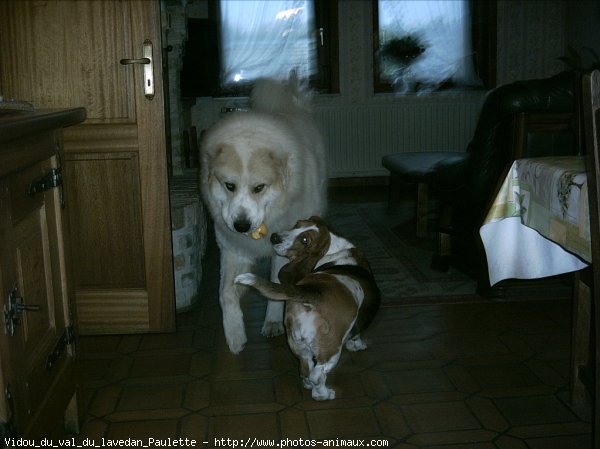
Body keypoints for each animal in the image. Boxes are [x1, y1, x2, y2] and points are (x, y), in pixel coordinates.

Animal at [199, 77, 326, 354]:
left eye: (259, 188)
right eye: (229, 185)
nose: (241, 225)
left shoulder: (283, 251)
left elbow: (275, 289)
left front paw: (272, 322)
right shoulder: (231, 247)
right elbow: (225, 294)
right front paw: (235, 335)